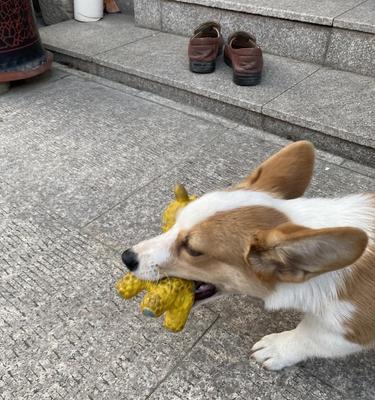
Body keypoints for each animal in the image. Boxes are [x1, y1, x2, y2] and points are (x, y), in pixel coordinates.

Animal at [122, 142, 374, 370]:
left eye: (193, 250)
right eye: (175, 223)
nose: (127, 257)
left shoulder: (351, 327)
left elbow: (309, 336)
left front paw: (276, 349)